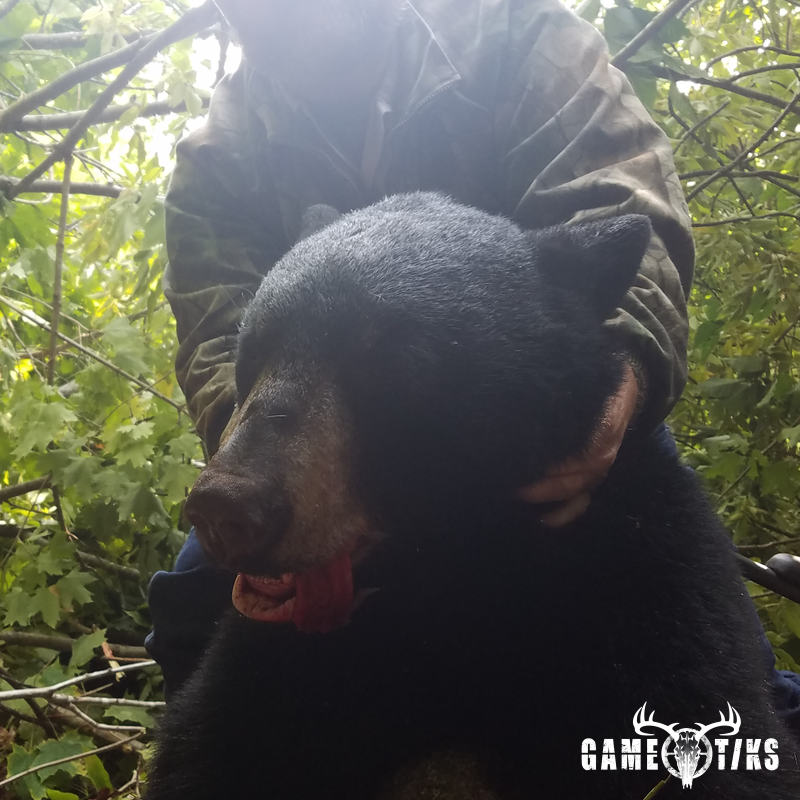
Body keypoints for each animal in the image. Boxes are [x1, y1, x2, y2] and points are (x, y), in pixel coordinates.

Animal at [145, 193, 800, 799]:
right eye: (252, 351)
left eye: (391, 369)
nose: (227, 507)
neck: (448, 570)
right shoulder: (279, 661)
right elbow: (208, 749)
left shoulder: (643, 574)